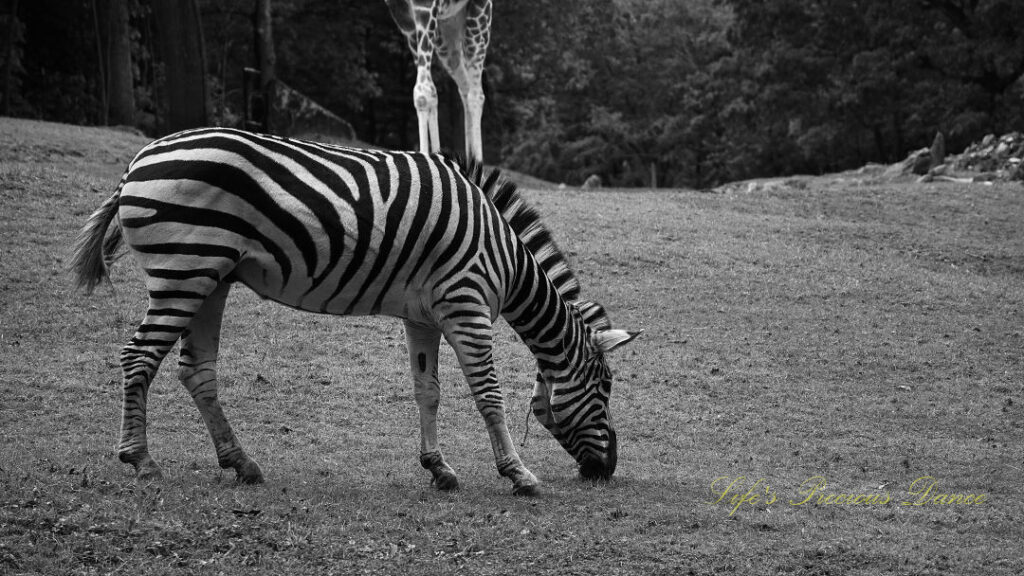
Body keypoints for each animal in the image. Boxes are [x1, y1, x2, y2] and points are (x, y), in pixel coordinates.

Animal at [72, 125, 634, 494]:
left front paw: (439, 468)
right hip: (183, 270)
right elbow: (488, 394)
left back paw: (241, 462)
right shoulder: (466, 305)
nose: (607, 469)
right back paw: (141, 459)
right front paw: (518, 474)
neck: (508, 259)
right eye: (606, 386)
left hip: (211, 277)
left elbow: (427, 391)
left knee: (196, 370)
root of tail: (138, 161)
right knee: (139, 358)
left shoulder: (422, 315)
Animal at [385, 0, 493, 161]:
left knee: (476, 95)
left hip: (479, 19)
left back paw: (477, 164)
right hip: (446, 32)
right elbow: (430, 91)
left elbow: (422, 93)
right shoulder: (403, 17)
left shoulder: (425, 6)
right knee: (465, 87)